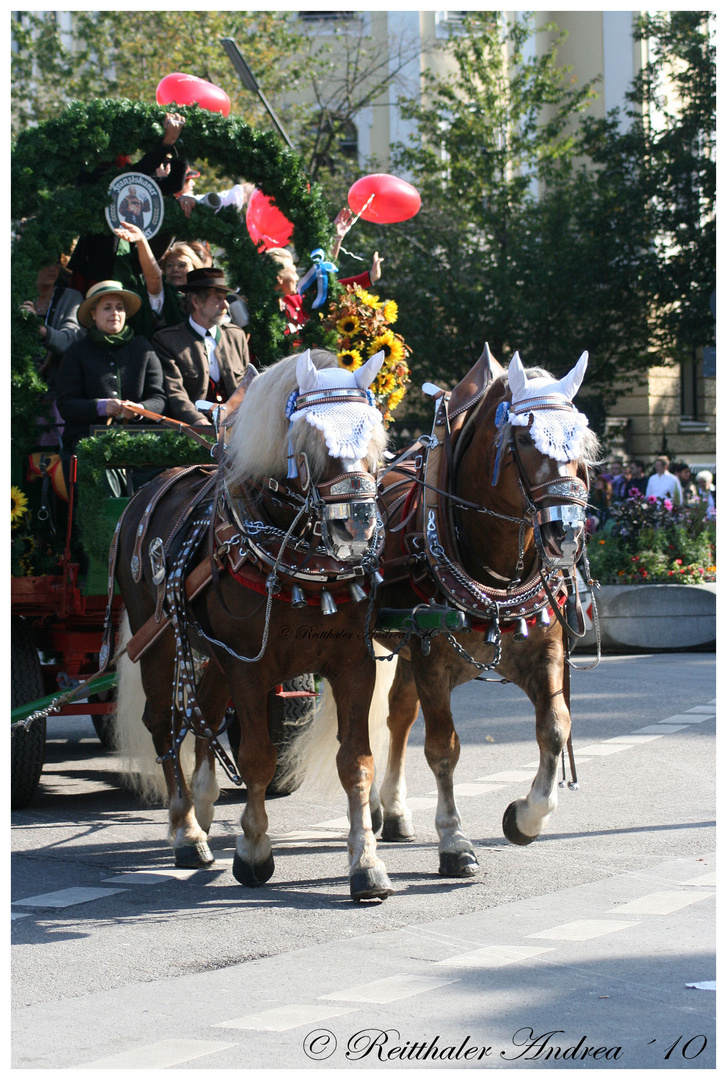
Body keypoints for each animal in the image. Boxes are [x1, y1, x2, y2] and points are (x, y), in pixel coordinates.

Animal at [113, 347, 397, 902]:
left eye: (375, 435)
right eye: (309, 441)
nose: (356, 524)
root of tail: (153, 485)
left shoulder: (352, 662)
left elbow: (356, 761)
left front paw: (366, 864)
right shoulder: (250, 667)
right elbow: (258, 759)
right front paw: (253, 850)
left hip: (214, 653)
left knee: (202, 710)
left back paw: (202, 806)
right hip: (158, 641)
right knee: (163, 723)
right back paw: (186, 830)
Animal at [280, 343, 596, 876]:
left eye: (583, 446)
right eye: (525, 440)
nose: (566, 535)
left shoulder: (545, 651)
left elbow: (555, 731)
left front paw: (526, 818)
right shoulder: (433, 660)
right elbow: (443, 749)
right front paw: (454, 841)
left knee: (397, 716)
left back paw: (392, 810)